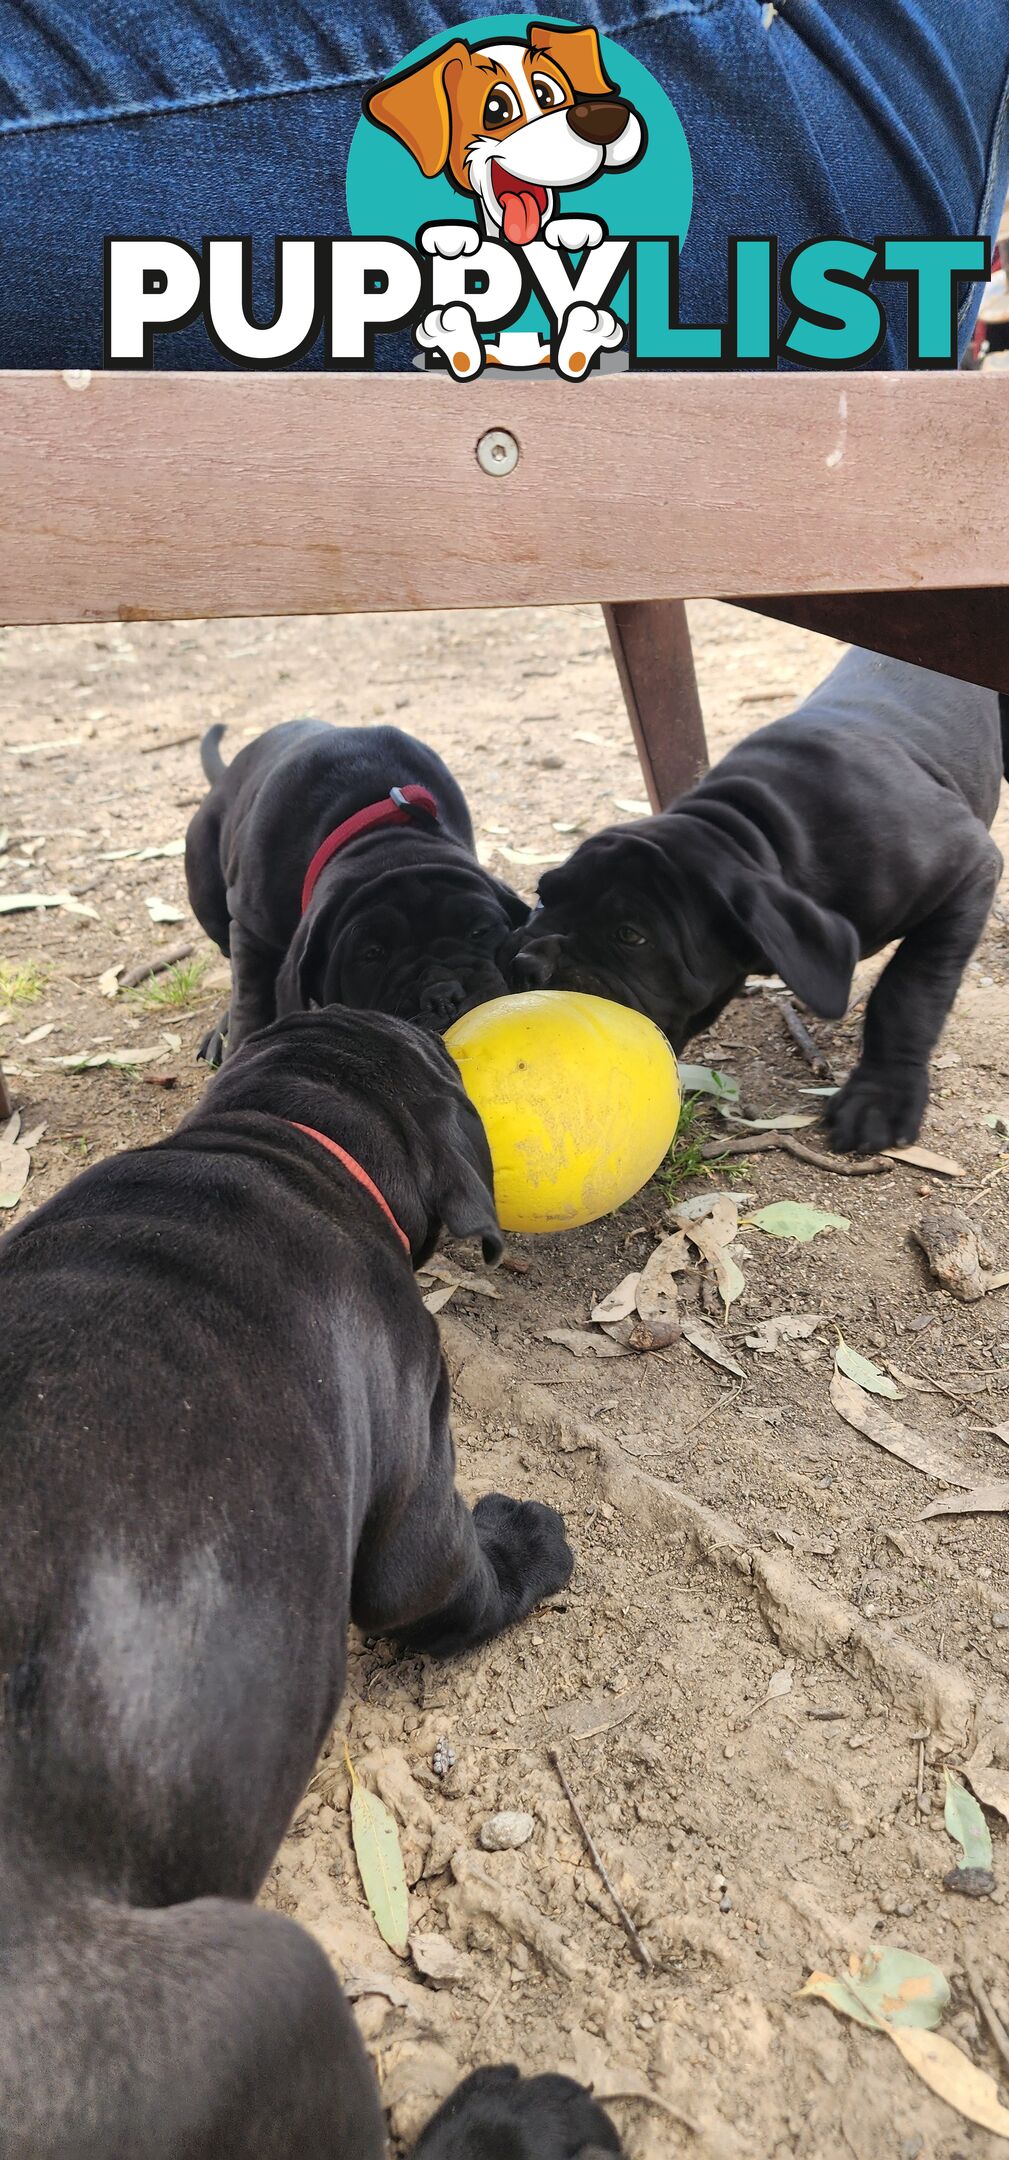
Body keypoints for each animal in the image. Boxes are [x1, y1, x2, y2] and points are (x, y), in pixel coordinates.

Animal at [0, 1010, 622, 2160]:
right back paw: (518, 2120)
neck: (281, 1141)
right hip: (269, 1985)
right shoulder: (418, 1498)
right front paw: (528, 1541)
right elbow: (461, 1583)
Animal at [516, 648, 1006, 1157]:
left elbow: (909, 987)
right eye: (541, 898)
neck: (760, 832)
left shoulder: (970, 867)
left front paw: (882, 1095)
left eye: (631, 935)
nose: (527, 966)